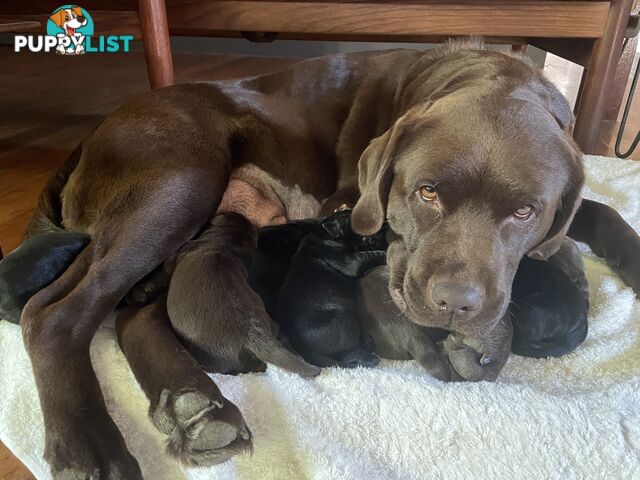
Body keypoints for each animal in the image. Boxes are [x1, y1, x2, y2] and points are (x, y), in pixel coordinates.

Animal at [278, 210, 388, 368]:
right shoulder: (352, 262)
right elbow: (373, 254)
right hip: (346, 322)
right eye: (351, 220)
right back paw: (370, 355)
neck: (324, 235)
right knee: (349, 354)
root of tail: (299, 345)